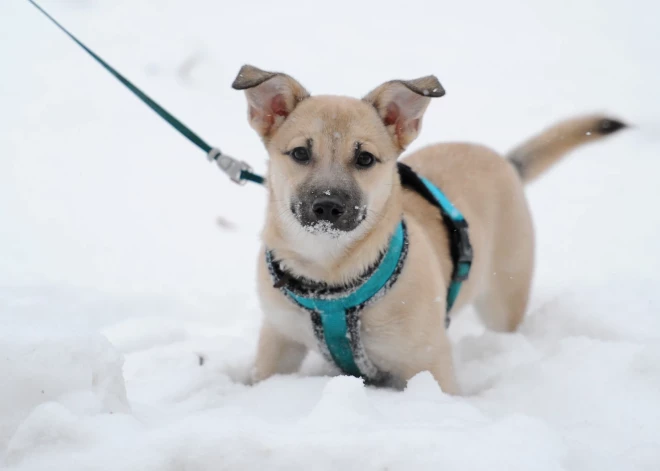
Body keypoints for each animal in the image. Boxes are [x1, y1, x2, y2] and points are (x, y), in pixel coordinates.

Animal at [233, 64, 628, 392]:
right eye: (300, 153)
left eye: (365, 158)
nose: (328, 206)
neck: (329, 277)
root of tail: (505, 161)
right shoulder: (279, 339)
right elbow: (264, 374)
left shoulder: (429, 364)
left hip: (504, 295)